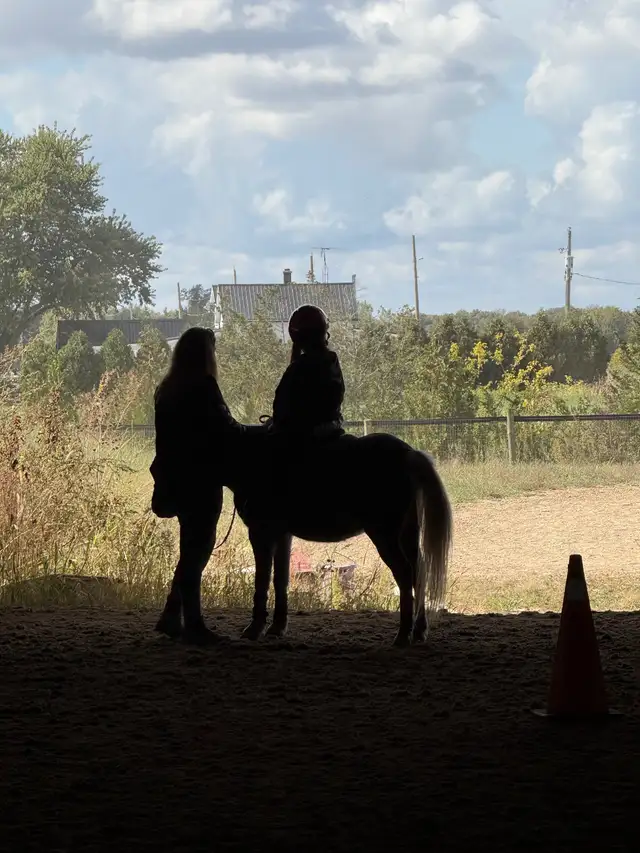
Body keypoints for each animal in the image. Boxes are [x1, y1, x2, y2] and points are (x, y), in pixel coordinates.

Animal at [223, 430, 453, 647]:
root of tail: (408, 453)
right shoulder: (282, 535)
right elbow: (280, 578)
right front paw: (277, 628)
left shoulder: (260, 533)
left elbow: (261, 579)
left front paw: (254, 629)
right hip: (408, 535)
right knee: (419, 572)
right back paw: (419, 631)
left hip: (385, 536)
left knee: (405, 574)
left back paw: (403, 636)